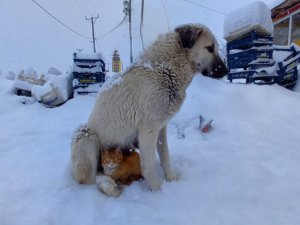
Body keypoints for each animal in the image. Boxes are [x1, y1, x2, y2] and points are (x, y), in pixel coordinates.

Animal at [71, 24, 229, 190]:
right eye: (210, 48)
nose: (227, 71)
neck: (166, 69)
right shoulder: (148, 130)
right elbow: (148, 166)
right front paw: (157, 189)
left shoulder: (161, 128)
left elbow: (165, 156)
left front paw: (171, 179)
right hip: (85, 136)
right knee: (90, 179)